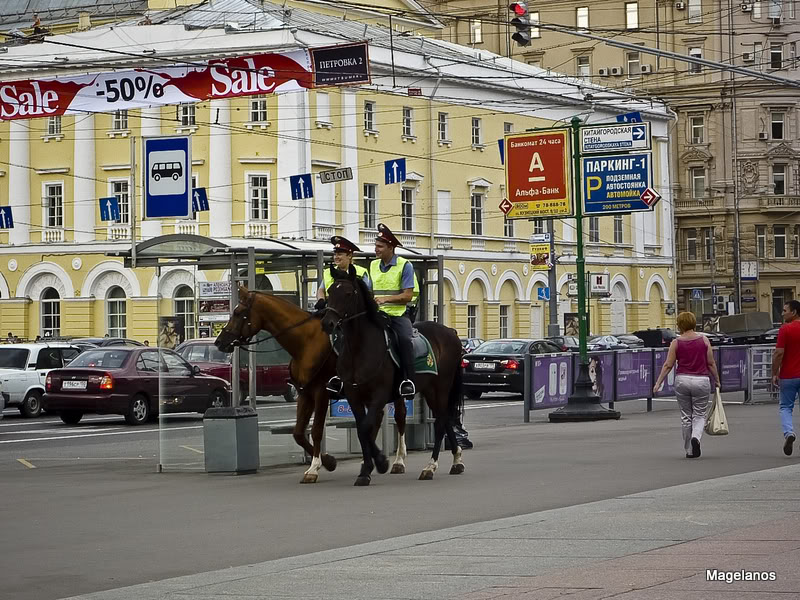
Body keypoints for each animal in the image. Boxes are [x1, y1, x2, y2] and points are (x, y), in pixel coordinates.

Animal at [212, 286, 410, 482]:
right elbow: (298, 433)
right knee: (375, 419)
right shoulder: (304, 393)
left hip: (393, 389)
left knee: (399, 417)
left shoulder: (321, 392)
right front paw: (329, 461)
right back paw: (373, 460)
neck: (306, 341)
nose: (219, 342)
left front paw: (314, 468)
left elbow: (316, 430)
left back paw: (398, 461)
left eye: (237, 312)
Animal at [320, 268, 466, 488]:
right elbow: (363, 430)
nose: (327, 323)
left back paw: (430, 467)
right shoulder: (354, 396)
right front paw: (367, 469)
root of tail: (450, 332)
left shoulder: (379, 395)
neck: (360, 349)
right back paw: (456, 461)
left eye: (348, 293)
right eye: (329, 291)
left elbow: (365, 428)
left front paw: (380, 462)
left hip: (440, 387)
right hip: (430, 390)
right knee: (446, 418)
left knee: (441, 422)